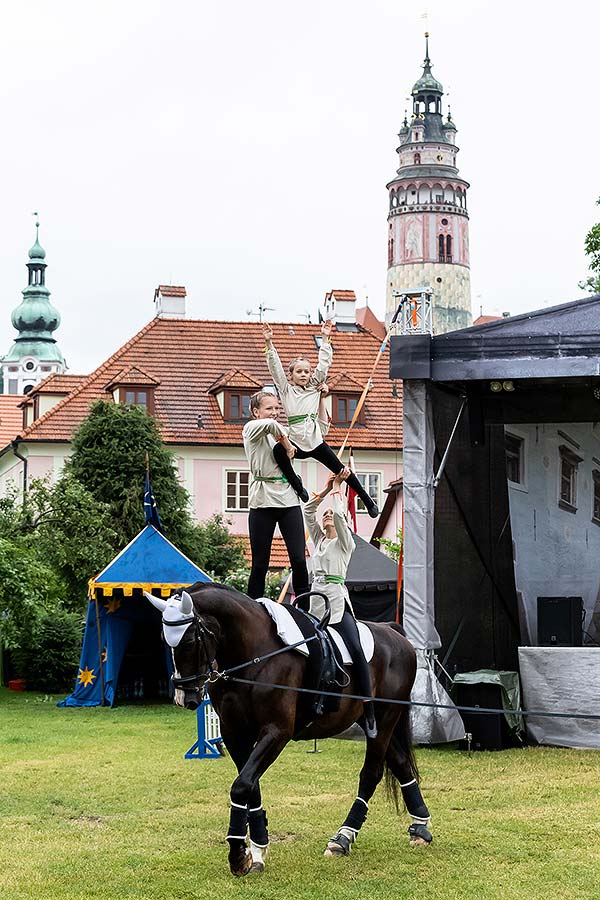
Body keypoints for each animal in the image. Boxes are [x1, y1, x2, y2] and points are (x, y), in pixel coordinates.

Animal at [146, 580, 432, 876]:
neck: (254, 654)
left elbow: (241, 786)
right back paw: (420, 827)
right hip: (370, 722)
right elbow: (250, 785)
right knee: (400, 763)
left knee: (371, 774)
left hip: (385, 718)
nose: (185, 698)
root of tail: (393, 632)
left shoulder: (277, 732)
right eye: (164, 640)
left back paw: (343, 838)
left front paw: (238, 854)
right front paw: (257, 849)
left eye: (190, 641)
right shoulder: (234, 734)